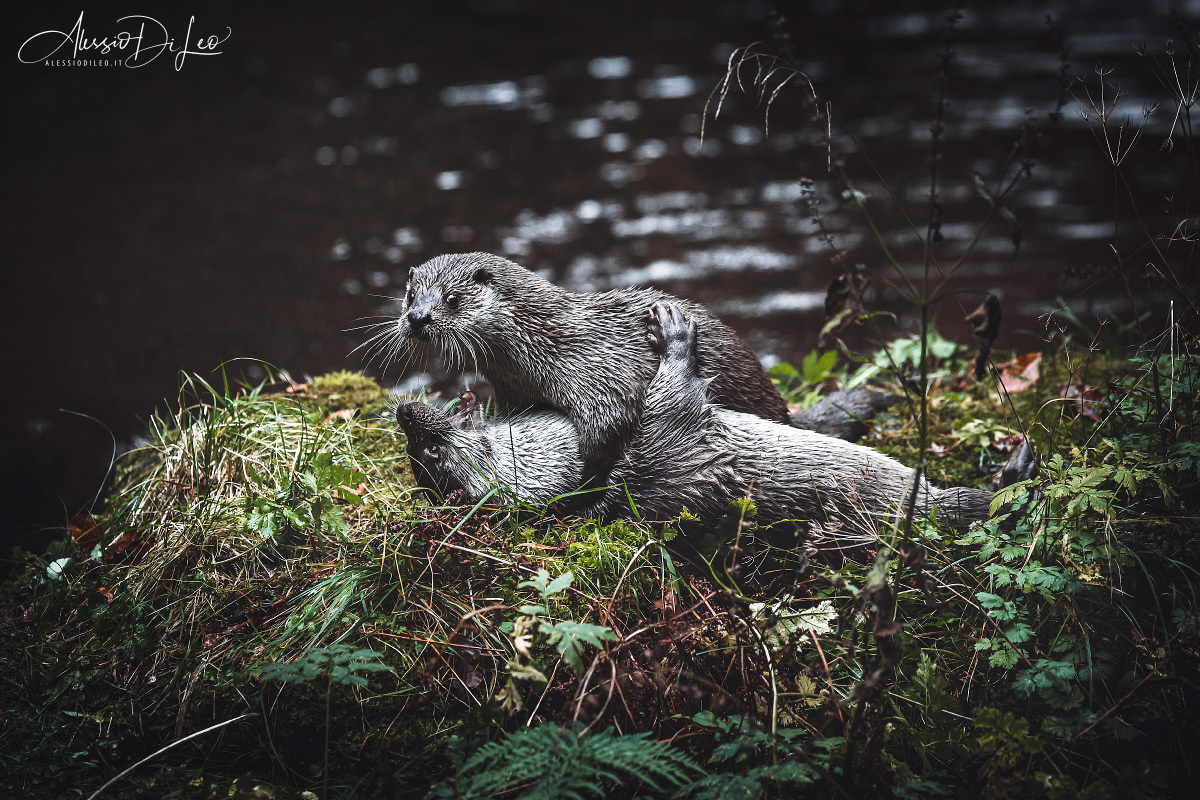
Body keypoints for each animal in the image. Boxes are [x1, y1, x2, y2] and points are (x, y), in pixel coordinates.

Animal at [391, 256, 883, 482]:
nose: (418, 318)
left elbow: (608, 427)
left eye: (452, 298)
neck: (546, 345)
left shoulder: (602, 372)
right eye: (411, 294)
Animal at [396, 303, 1032, 546]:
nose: (405, 413)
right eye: (432, 459)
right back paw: (1013, 476)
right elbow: (675, 394)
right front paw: (677, 336)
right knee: (968, 508)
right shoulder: (665, 442)